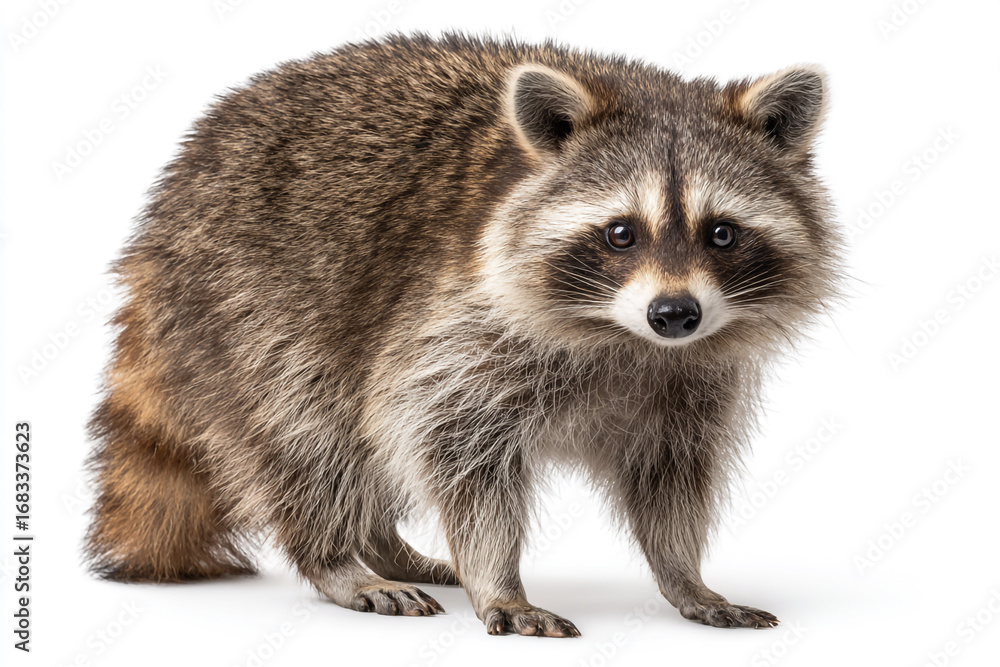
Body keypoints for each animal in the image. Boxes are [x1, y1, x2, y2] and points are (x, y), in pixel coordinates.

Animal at [85, 33, 842, 637]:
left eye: (723, 233)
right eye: (622, 233)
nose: (675, 313)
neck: (624, 337)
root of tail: (160, 220)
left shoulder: (690, 381)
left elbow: (671, 475)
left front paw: (683, 571)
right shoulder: (457, 322)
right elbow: (454, 448)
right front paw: (497, 578)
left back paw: (379, 542)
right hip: (247, 300)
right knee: (306, 429)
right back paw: (336, 557)